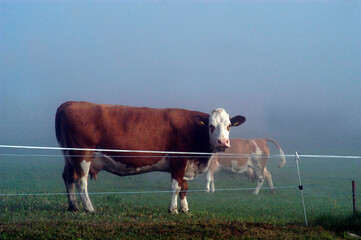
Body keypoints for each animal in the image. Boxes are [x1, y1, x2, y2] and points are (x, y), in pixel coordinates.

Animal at [55, 101, 245, 212]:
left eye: (229, 126)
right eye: (211, 126)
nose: (222, 142)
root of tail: (73, 103)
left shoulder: (186, 164)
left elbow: (184, 187)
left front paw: (185, 209)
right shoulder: (178, 160)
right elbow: (176, 186)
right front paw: (173, 210)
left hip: (69, 155)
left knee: (68, 177)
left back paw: (73, 206)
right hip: (82, 154)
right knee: (81, 181)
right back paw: (89, 208)